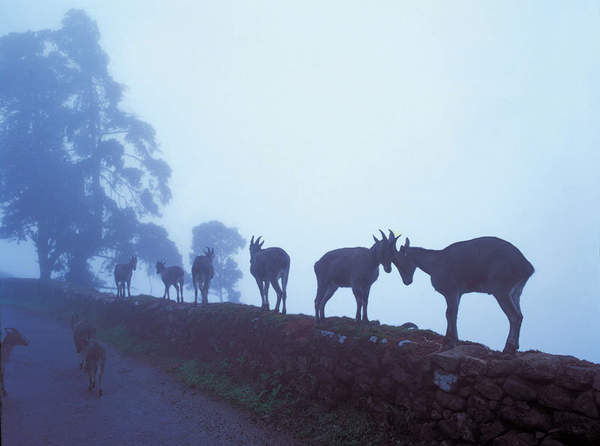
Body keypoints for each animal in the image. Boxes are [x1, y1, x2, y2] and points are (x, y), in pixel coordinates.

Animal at [394, 235, 536, 354]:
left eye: (399, 261)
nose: (407, 281)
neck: (435, 262)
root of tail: (528, 268)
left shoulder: (451, 290)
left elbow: (449, 313)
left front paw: (448, 342)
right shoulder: (458, 293)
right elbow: (454, 313)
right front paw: (454, 341)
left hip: (501, 291)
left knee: (514, 316)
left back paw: (508, 348)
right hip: (516, 292)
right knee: (520, 316)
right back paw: (514, 346)